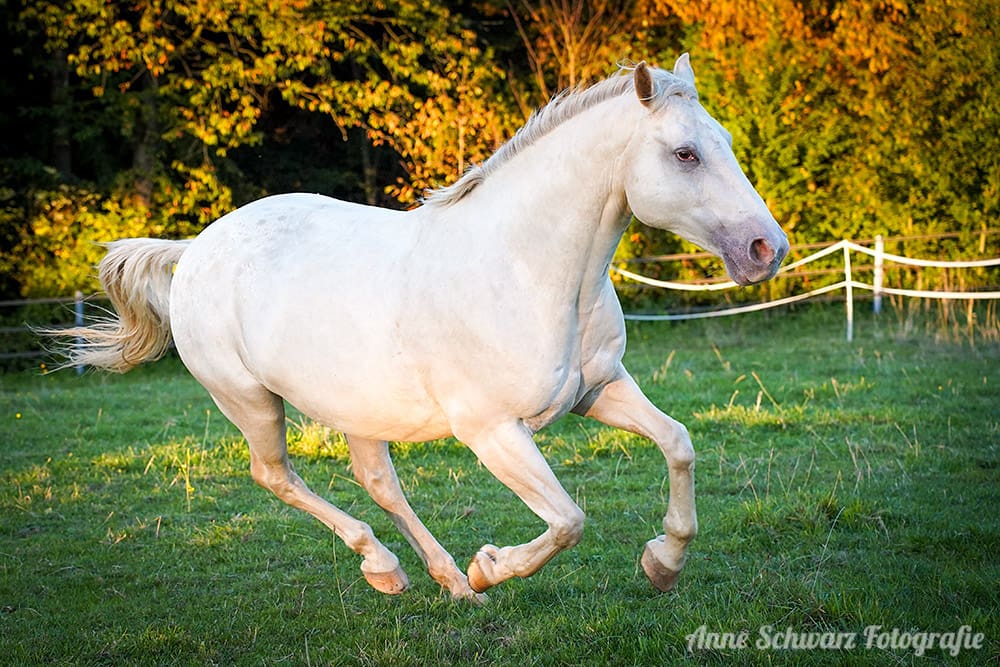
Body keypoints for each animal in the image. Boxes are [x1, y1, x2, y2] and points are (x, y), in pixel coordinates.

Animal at [55, 55, 788, 602]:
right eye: (685, 154)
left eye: (723, 142)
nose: (767, 248)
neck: (526, 267)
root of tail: (195, 249)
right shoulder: (492, 431)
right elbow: (569, 520)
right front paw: (492, 566)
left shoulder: (599, 389)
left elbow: (679, 443)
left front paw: (663, 562)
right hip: (249, 400)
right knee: (277, 476)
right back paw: (393, 568)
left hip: (356, 406)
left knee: (379, 482)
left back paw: (440, 578)